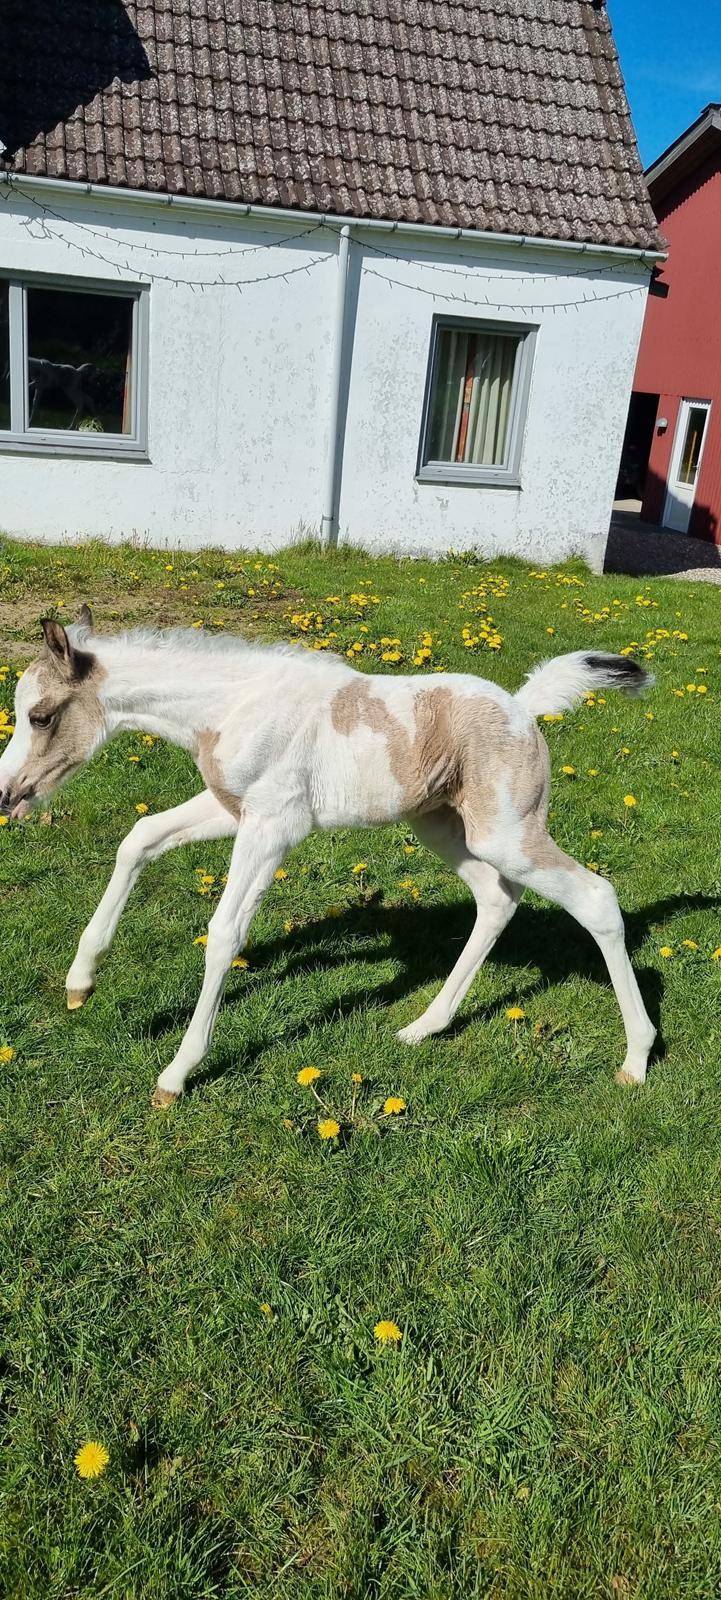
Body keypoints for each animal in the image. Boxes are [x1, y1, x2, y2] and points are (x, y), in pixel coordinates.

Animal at [0, 611, 658, 1100]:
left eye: (40, 716)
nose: (8, 795)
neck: (230, 706)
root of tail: (523, 708)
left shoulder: (272, 826)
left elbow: (224, 932)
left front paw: (178, 1072)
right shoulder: (233, 810)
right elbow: (138, 838)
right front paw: (80, 982)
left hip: (507, 834)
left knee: (596, 898)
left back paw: (637, 1057)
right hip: (446, 829)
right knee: (496, 900)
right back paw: (423, 1027)